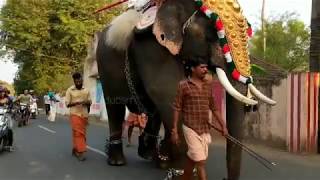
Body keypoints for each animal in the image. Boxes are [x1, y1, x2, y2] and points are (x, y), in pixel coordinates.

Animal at [94, 0, 276, 179]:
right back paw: (118, 161)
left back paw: (153, 157)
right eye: (211, 36)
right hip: (104, 63)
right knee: (115, 106)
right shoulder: (151, 46)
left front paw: (174, 166)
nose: (225, 178)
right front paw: (183, 172)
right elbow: (167, 90)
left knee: (155, 111)